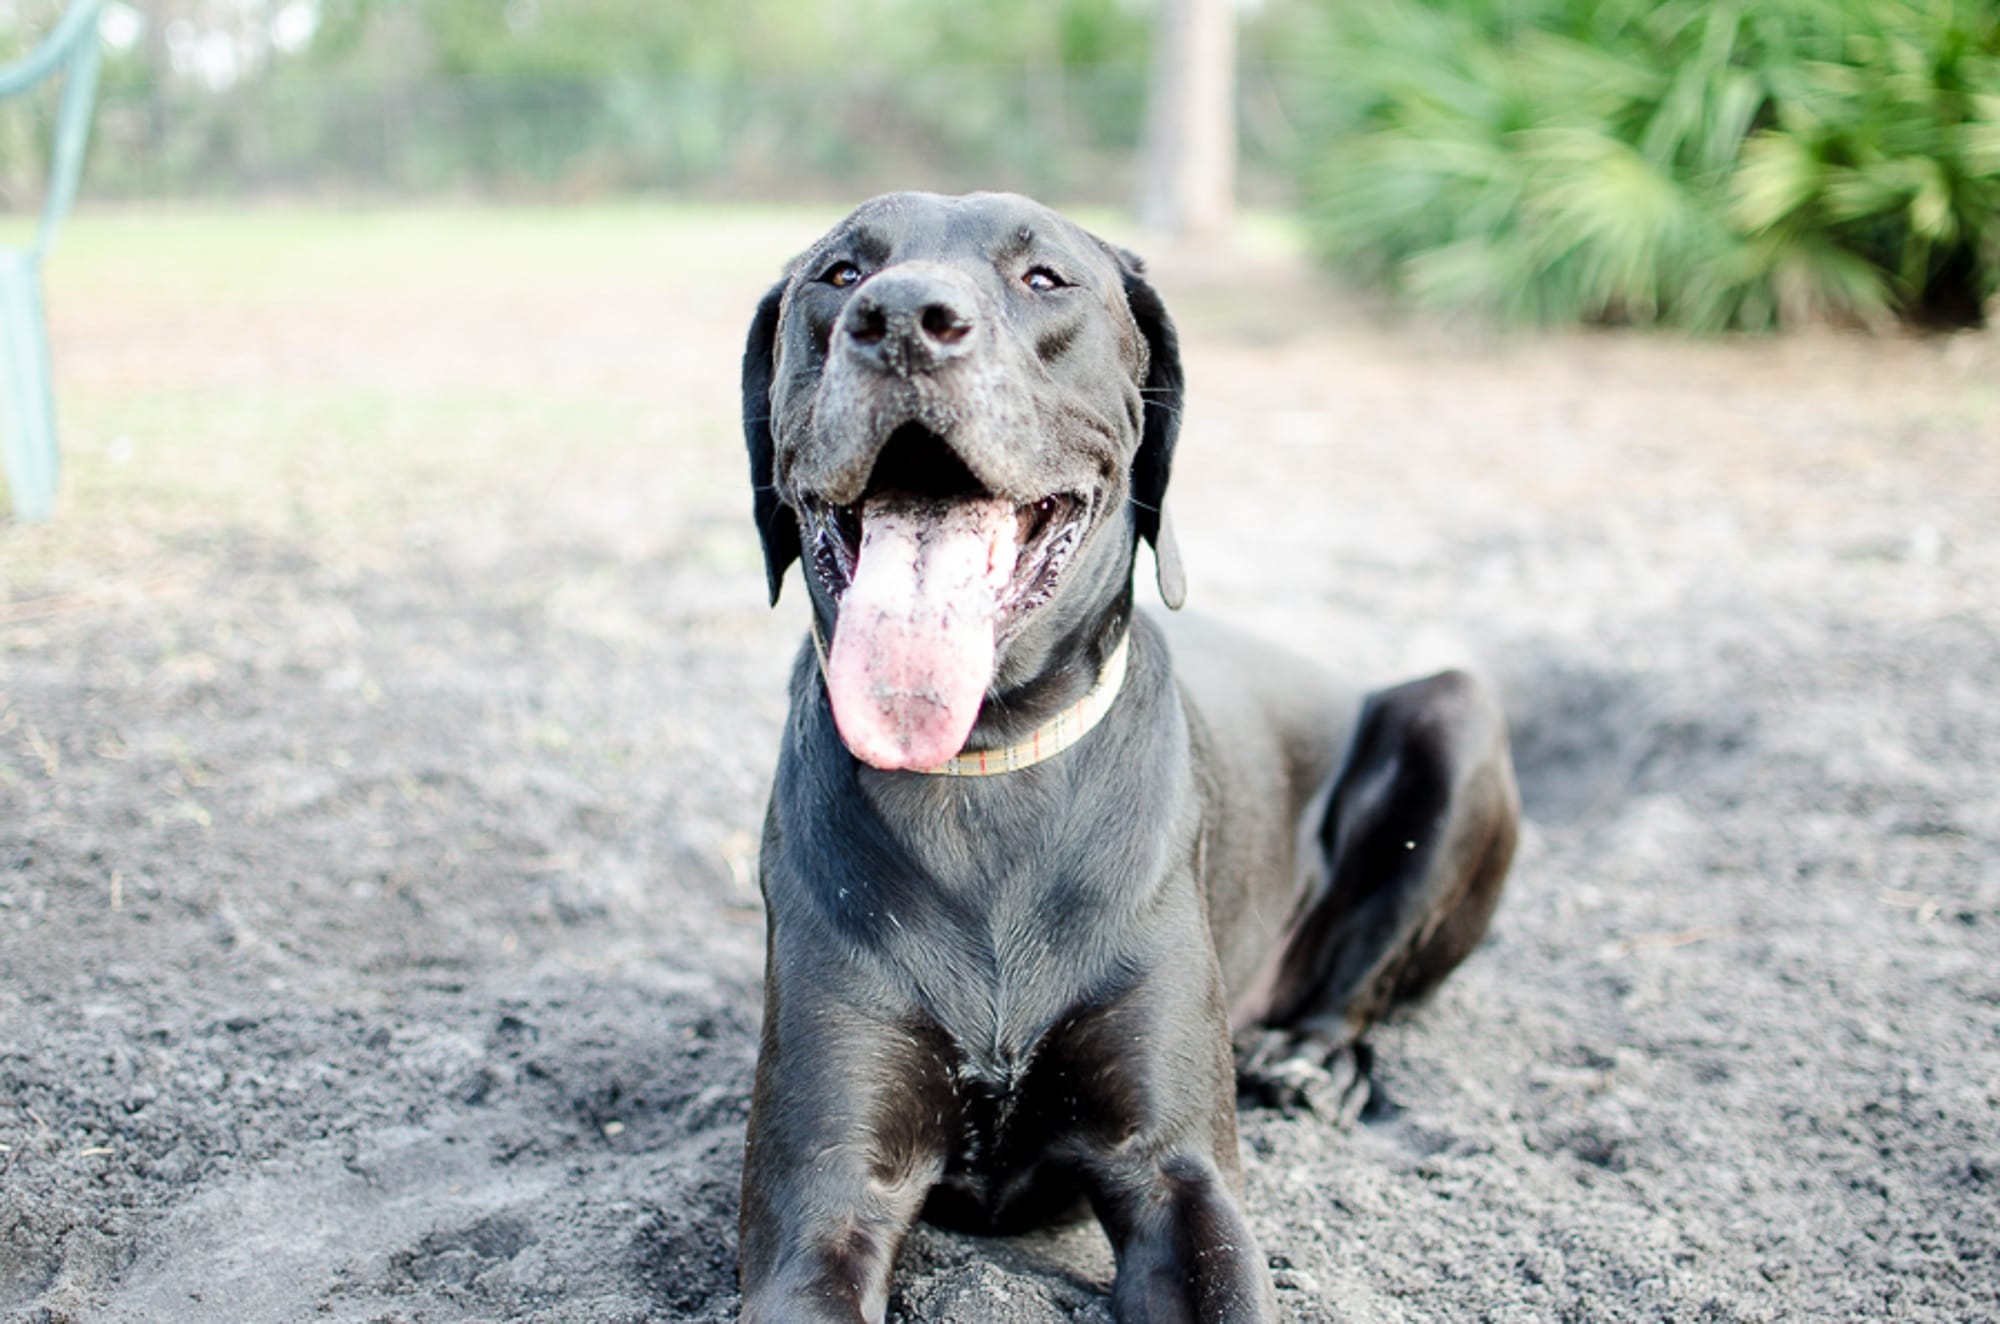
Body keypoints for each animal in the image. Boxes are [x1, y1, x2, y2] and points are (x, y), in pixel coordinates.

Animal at [740, 192, 1512, 1320]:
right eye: (839, 275)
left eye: (1044, 279)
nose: (901, 320)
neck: (988, 759)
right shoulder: (821, 1199)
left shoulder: (1175, 1174)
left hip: (1455, 715)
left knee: (1358, 997)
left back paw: (1312, 1063)